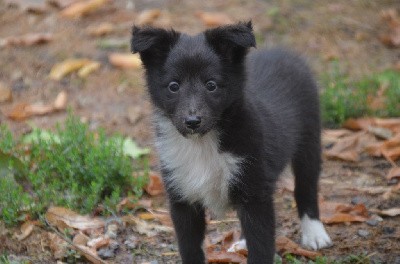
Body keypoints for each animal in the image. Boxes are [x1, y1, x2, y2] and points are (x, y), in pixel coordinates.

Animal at [131, 21, 332, 264]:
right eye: (173, 86)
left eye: (211, 85)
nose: (192, 121)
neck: (203, 143)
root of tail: (284, 53)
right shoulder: (182, 196)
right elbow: (190, 248)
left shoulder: (256, 193)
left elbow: (261, 248)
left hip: (309, 141)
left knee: (306, 188)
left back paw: (315, 233)